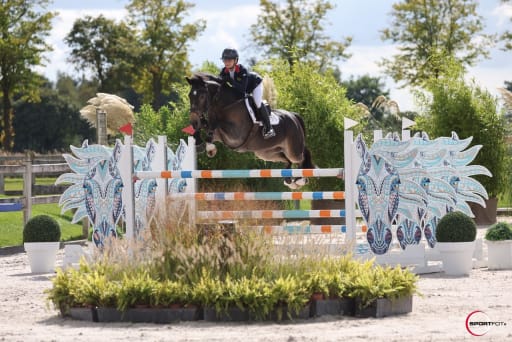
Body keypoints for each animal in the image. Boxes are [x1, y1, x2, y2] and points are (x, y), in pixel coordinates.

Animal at [186, 72, 314, 188]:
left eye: (202, 96)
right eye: (190, 95)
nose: (193, 120)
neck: (225, 105)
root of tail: (294, 116)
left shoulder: (235, 135)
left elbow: (216, 126)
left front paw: (210, 148)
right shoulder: (219, 134)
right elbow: (207, 129)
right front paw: (201, 145)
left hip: (292, 150)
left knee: (301, 157)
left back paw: (300, 180)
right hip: (267, 153)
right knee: (287, 161)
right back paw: (289, 181)